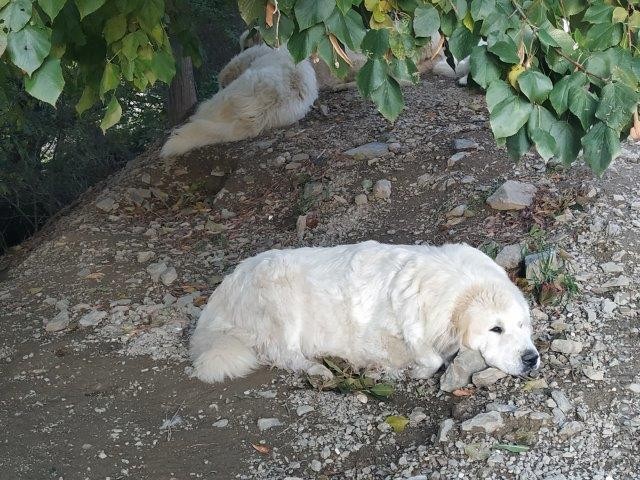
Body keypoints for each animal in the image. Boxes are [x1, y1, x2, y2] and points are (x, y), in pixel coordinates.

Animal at [191, 242, 540, 384]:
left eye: (523, 325)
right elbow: (430, 357)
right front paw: (402, 370)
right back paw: (319, 369)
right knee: (283, 353)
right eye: (496, 329)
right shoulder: (376, 335)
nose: (531, 358)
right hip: (281, 298)